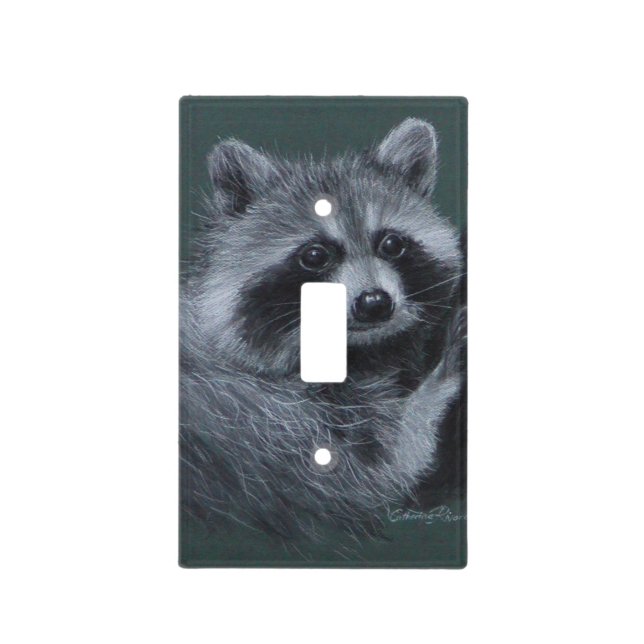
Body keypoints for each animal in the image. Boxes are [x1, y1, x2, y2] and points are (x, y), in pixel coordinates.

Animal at [180, 118, 465, 542]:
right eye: (315, 255)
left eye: (392, 244)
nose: (375, 303)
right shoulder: (260, 423)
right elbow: (376, 479)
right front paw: (437, 387)